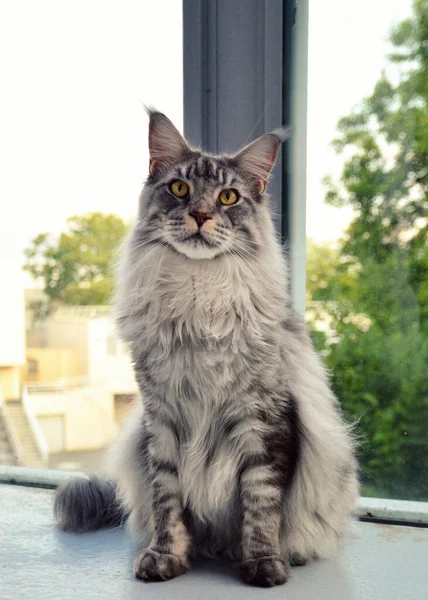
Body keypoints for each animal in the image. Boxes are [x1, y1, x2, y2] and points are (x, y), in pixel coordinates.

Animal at [55, 110, 360, 588]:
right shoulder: (161, 420)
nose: (200, 214)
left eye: (228, 197)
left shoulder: (265, 421)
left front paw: (263, 563)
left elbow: (262, 503)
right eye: (180, 189)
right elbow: (167, 503)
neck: (199, 296)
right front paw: (165, 558)